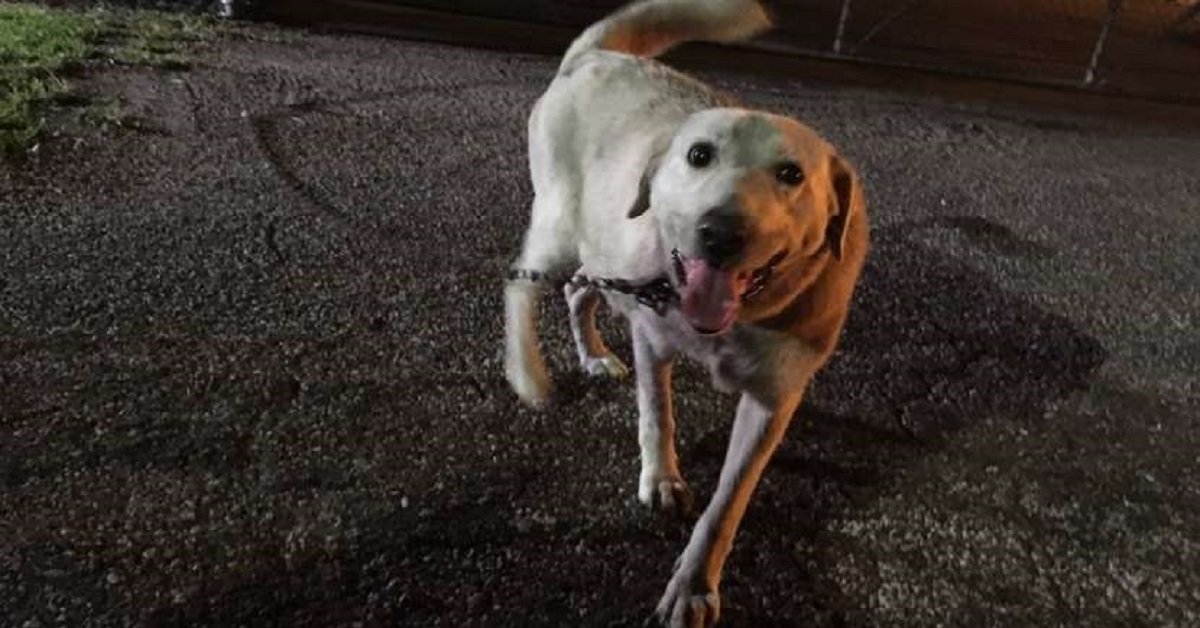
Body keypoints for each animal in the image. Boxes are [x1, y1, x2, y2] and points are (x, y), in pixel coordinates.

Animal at [501, 2, 868, 624]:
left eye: (791, 174)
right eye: (699, 155)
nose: (719, 232)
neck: (736, 320)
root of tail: (599, 54)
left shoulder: (775, 398)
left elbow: (728, 502)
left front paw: (694, 583)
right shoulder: (654, 339)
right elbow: (658, 414)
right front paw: (661, 479)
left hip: (597, 249)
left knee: (577, 291)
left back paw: (593, 355)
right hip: (558, 230)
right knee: (520, 285)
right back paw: (528, 373)